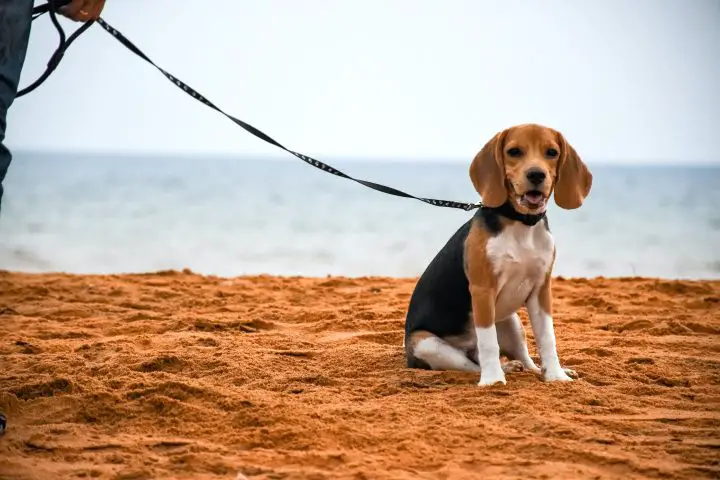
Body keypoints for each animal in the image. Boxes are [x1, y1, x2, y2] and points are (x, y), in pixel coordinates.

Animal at [402, 123, 592, 386]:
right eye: (514, 152)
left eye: (552, 152)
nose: (536, 174)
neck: (521, 223)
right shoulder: (483, 291)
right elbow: (489, 343)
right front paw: (492, 381)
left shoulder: (541, 291)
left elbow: (547, 338)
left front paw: (556, 376)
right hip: (427, 343)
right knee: (472, 364)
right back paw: (501, 370)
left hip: (511, 321)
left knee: (525, 359)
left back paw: (531, 368)